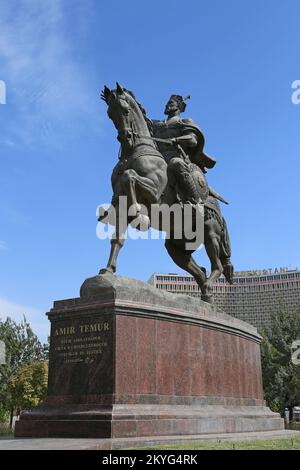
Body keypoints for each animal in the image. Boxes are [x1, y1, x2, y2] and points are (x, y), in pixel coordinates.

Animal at [99, 82, 233, 302]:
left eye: (125, 110)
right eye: (110, 114)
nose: (125, 137)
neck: (133, 153)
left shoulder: (154, 194)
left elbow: (130, 176)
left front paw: (139, 216)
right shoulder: (120, 206)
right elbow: (117, 238)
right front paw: (108, 270)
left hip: (210, 231)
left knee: (218, 265)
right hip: (178, 245)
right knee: (199, 270)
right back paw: (205, 296)